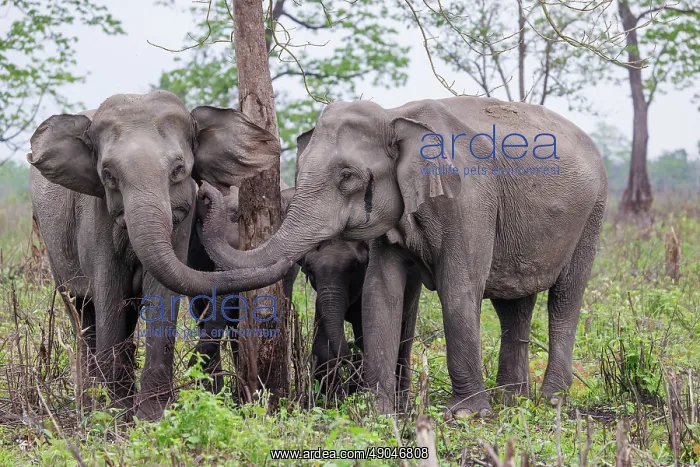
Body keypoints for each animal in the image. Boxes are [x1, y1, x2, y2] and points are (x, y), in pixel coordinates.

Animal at [27, 90, 291, 420]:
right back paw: (89, 404)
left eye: (178, 171)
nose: (209, 194)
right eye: (108, 175)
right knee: (82, 312)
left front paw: (152, 416)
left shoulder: (182, 223)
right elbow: (109, 291)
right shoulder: (94, 213)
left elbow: (163, 291)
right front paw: (115, 416)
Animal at [192, 96, 608, 419]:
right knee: (513, 306)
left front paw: (465, 415)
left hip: (593, 213)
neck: (396, 115)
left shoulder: (470, 199)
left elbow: (458, 290)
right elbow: (381, 292)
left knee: (565, 299)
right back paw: (513, 402)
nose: (207, 193)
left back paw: (550, 401)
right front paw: (373, 412)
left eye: (347, 176)